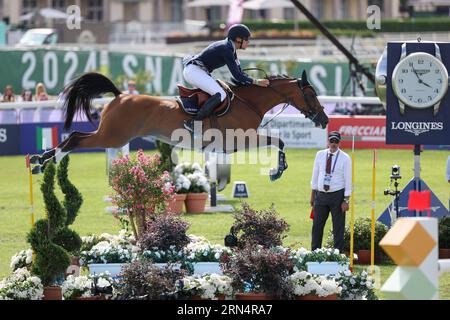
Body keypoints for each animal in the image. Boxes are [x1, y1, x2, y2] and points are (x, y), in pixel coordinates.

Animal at [29, 70, 328, 180]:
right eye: (312, 94)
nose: (324, 120)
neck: (249, 101)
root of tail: (120, 95)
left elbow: (278, 141)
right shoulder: (242, 138)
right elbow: (279, 141)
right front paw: (278, 171)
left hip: (110, 134)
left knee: (75, 134)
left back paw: (40, 160)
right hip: (113, 137)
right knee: (75, 138)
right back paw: (47, 160)